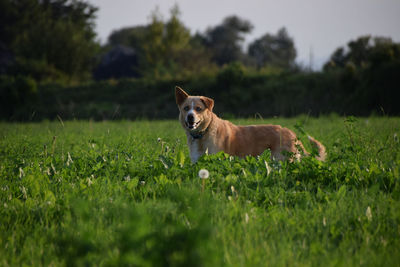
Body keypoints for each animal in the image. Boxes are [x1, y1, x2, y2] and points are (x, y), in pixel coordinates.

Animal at [177, 87, 326, 164]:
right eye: (186, 108)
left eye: (198, 108)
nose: (190, 116)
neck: (204, 132)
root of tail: (292, 134)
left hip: (282, 159)